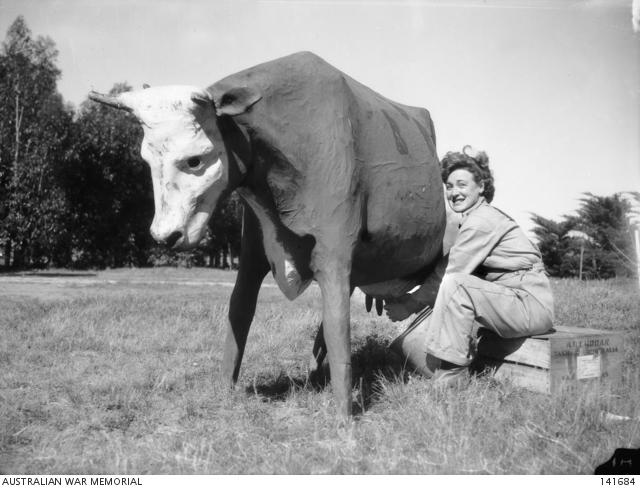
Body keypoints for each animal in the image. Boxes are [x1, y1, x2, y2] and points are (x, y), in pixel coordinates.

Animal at [90, 50, 448, 416]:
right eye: (145, 159)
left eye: (195, 159)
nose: (165, 236)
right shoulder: (252, 255)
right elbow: (240, 312)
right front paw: (224, 392)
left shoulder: (334, 255)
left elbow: (338, 326)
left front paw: (342, 416)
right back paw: (315, 375)